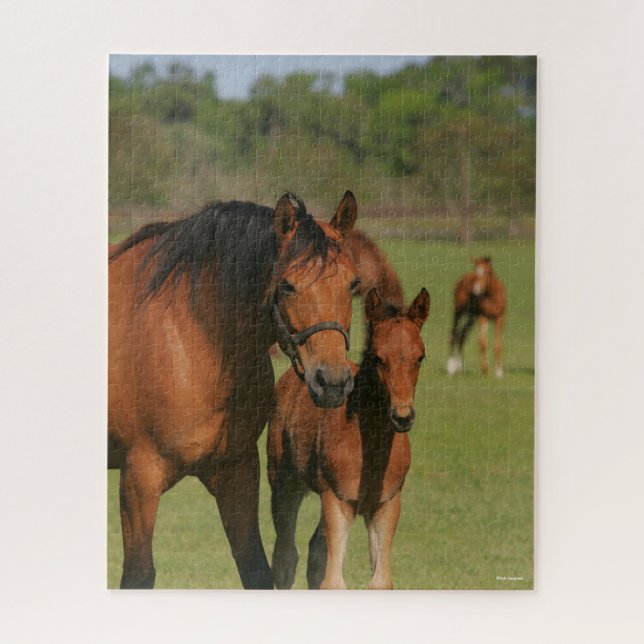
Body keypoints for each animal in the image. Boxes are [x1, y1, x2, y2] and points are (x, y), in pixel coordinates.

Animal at [108, 191, 361, 589]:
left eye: (353, 284)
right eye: (287, 285)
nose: (332, 381)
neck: (193, 332)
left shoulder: (236, 470)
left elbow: (256, 568)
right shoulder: (139, 478)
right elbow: (138, 574)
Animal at [268, 287, 430, 590]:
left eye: (420, 357)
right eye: (378, 357)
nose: (403, 416)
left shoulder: (386, 505)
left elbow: (380, 581)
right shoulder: (338, 501)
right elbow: (333, 581)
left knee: (315, 552)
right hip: (284, 485)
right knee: (285, 557)